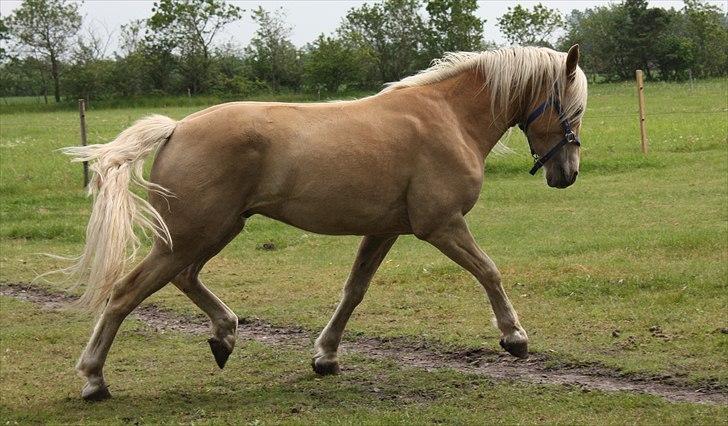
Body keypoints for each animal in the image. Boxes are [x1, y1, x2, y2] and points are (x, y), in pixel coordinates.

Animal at [59, 45, 588, 402]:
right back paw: (94, 380)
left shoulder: (384, 230)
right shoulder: (441, 225)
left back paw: (224, 335)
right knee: (125, 293)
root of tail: (176, 128)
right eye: (575, 108)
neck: (449, 118)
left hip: (212, 232)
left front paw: (326, 357)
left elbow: (353, 292)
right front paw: (514, 338)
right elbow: (489, 272)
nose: (567, 174)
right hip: (189, 236)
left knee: (184, 279)